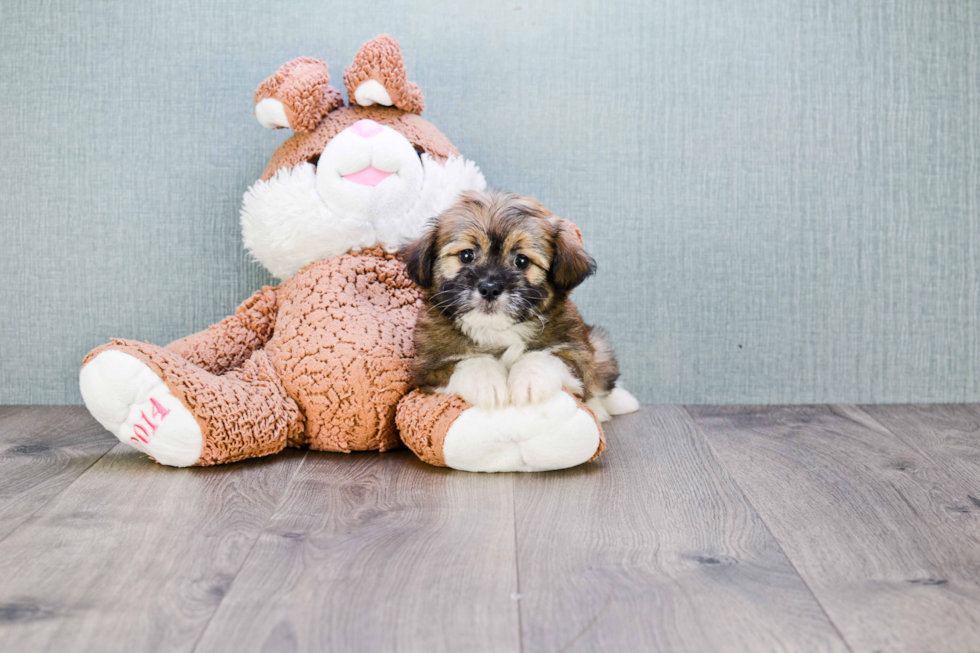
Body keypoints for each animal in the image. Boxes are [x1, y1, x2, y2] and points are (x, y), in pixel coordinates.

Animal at [400, 188, 640, 422]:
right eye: (467, 255)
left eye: (522, 261)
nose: (489, 288)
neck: (497, 330)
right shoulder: (427, 368)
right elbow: (466, 361)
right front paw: (487, 381)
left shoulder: (577, 354)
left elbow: (544, 356)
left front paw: (528, 380)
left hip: (599, 344)